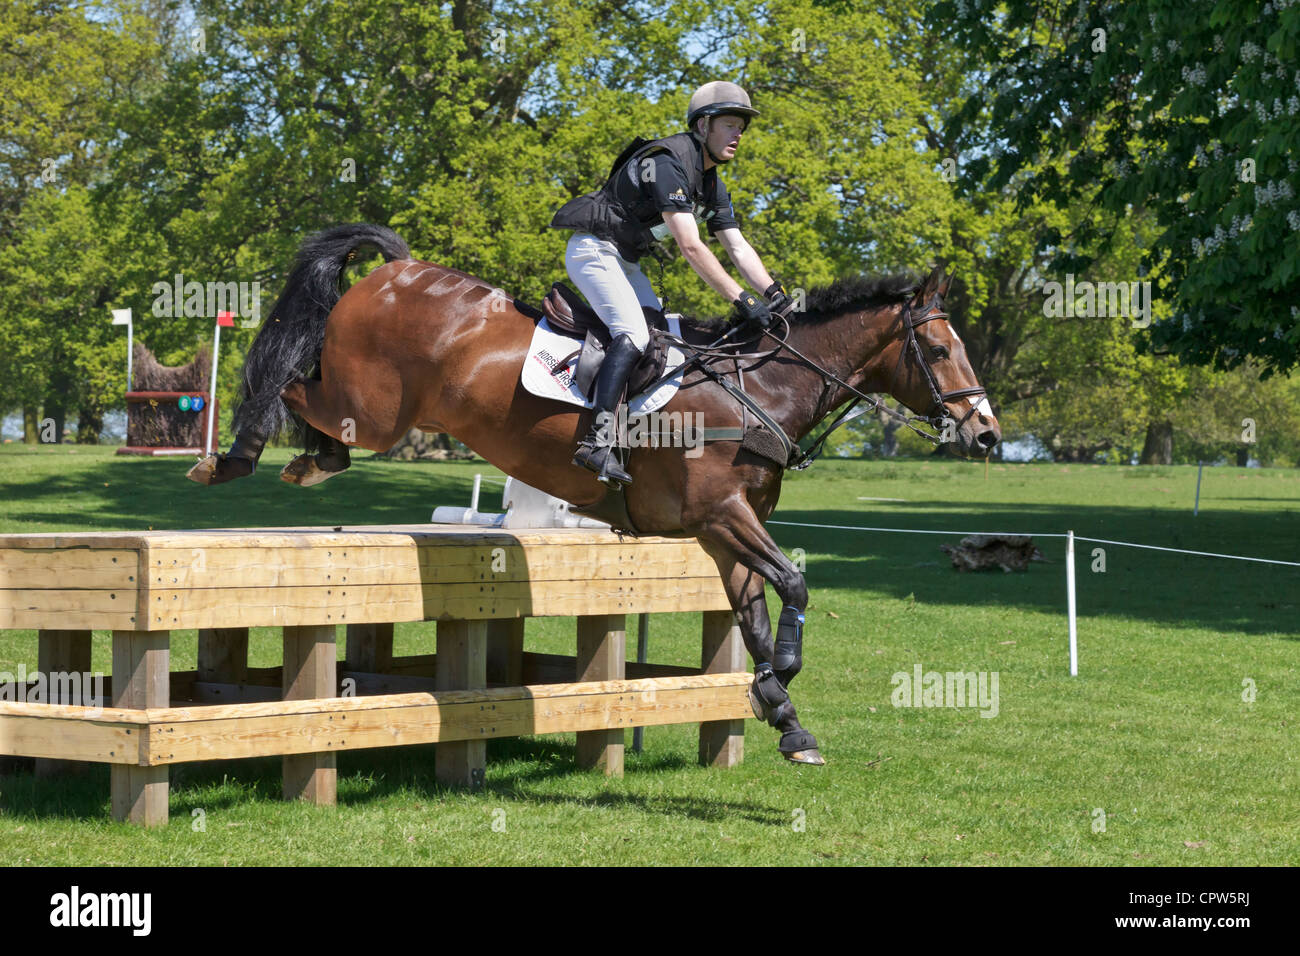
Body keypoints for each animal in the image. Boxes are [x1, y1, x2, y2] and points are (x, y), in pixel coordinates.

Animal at [187, 223, 1001, 765]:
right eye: (938, 349)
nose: (987, 434)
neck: (761, 388)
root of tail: (399, 268)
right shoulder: (720, 514)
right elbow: (794, 587)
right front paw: (781, 692)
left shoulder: (723, 532)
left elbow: (759, 615)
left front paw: (784, 714)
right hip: (379, 410)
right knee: (290, 377)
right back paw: (237, 460)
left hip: (381, 410)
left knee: (311, 395)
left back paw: (301, 460)